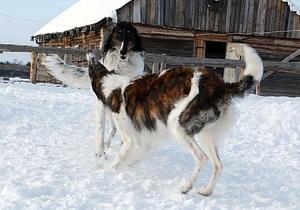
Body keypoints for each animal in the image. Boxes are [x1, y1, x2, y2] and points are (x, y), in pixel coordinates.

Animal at [42, 23, 145, 158]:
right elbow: (101, 129)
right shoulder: (102, 101)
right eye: (118, 34)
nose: (123, 51)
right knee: (113, 128)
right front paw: (100, 152)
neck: (122, 65)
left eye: (130, 34)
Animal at [86, 45, 262, 196]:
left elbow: (117, 161)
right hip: (207, 136)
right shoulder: (144, 142)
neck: (113, 87)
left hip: (177, 126)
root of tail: (221, 86)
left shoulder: (130, 139)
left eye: (92, 65)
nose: (89, 51)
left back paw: (186, 187)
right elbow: (131, 158)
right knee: (218, 165)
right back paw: (206, 190)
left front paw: (104, 169)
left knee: (202, 158)